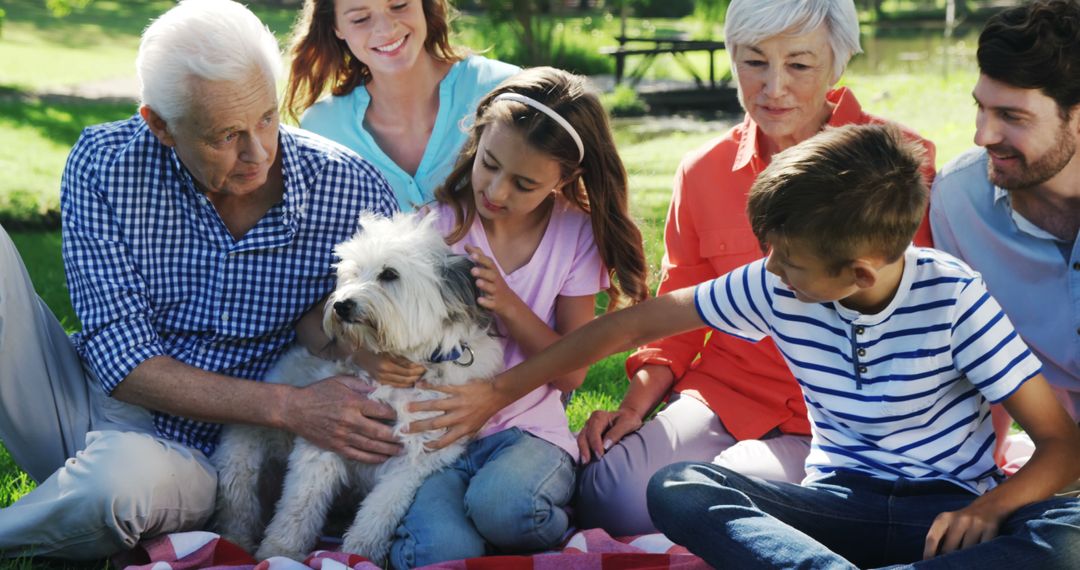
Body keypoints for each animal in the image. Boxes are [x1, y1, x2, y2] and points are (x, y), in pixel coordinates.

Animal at [212, 211, 503, 561]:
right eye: (351, 272)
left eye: (389, 274)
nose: (341, 305)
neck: (407, 362)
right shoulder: (326, 434)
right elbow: (299, 505)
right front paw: (279, 551)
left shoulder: (415, 461)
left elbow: (378, 513)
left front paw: (359, 553)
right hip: (240, 457)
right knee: (239, 506)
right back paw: (235, 542)